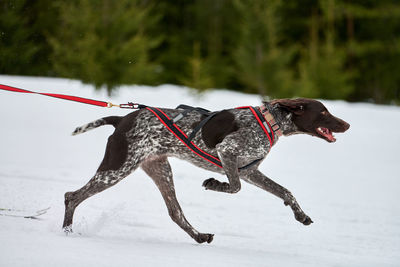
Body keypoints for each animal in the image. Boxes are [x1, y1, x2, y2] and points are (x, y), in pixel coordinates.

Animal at [62, 99, 350, 245]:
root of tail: (121, 119)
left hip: (160, 170)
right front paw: (213, 183)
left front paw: (301, 215)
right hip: (117, 168)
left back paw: (199, 236)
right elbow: (234, 187)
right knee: (71, 196)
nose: (347, 125)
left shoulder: (249, 170)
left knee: (176, 213)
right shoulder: (228, 153)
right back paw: (66, 232)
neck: (270, 122)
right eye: (324, 112)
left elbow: (286, 192)